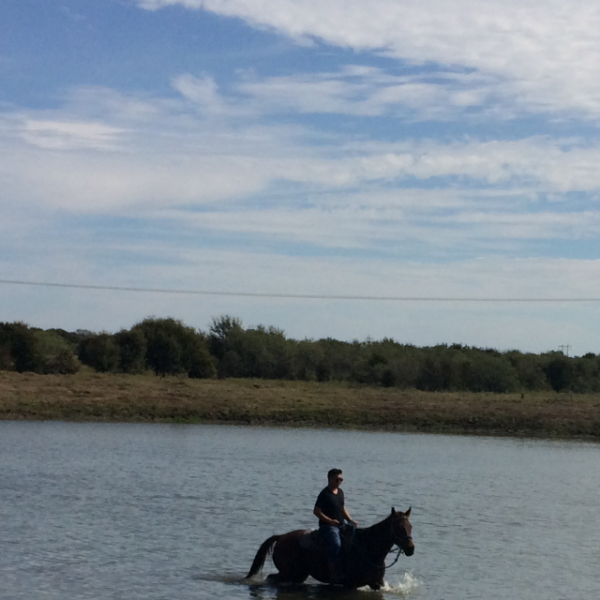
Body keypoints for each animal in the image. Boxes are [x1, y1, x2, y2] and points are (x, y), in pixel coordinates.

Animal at [244, 506, 412, 592]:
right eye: (399, 527)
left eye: (410, 526)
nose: (411, 549)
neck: (367, 548)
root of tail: (280, 537)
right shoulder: (351, 585)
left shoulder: (377, 582)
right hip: (289, 573)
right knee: (271, 578)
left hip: (298, 575)